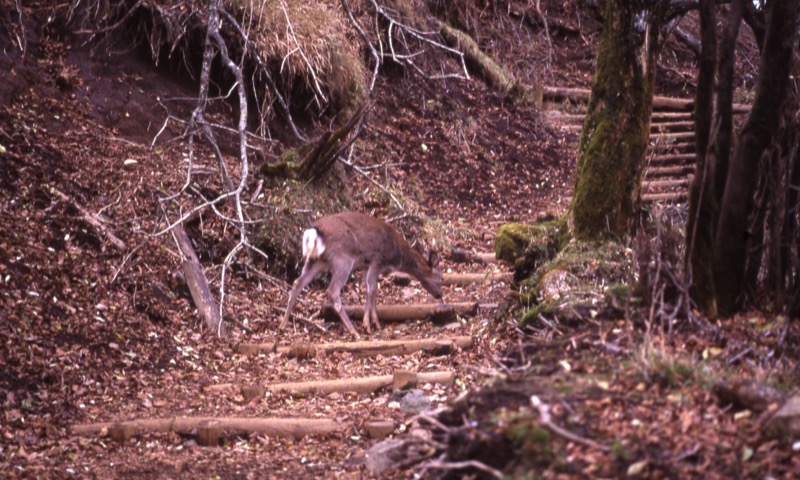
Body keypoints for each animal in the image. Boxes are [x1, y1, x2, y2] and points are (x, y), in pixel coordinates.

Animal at [280, 212, 444, 340]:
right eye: (441, 278)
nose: (440, 295)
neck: (396, 257)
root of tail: (314, 232)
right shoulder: (377, 260)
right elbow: (371, 290)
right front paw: (368, 325)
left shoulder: (367, 266)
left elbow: (371, 291)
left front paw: (376, 323)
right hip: (343, 260)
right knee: (332, 291)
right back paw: (354, 332)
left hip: (315, 262)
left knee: (297, 283)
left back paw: (283, 324)